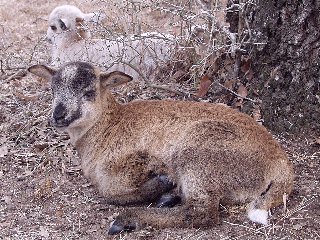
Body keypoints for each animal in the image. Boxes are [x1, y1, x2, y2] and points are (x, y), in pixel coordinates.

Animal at [28, 61, 294, 234]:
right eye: (52, 90)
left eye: (89, 92)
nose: (58, 116)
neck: (107, 126)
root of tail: (280, 163)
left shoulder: (126, 164)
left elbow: (108, 192)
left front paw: (160, 183)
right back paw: (168, 198)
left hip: (200, 153)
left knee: (202, 213)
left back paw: (130, 218)